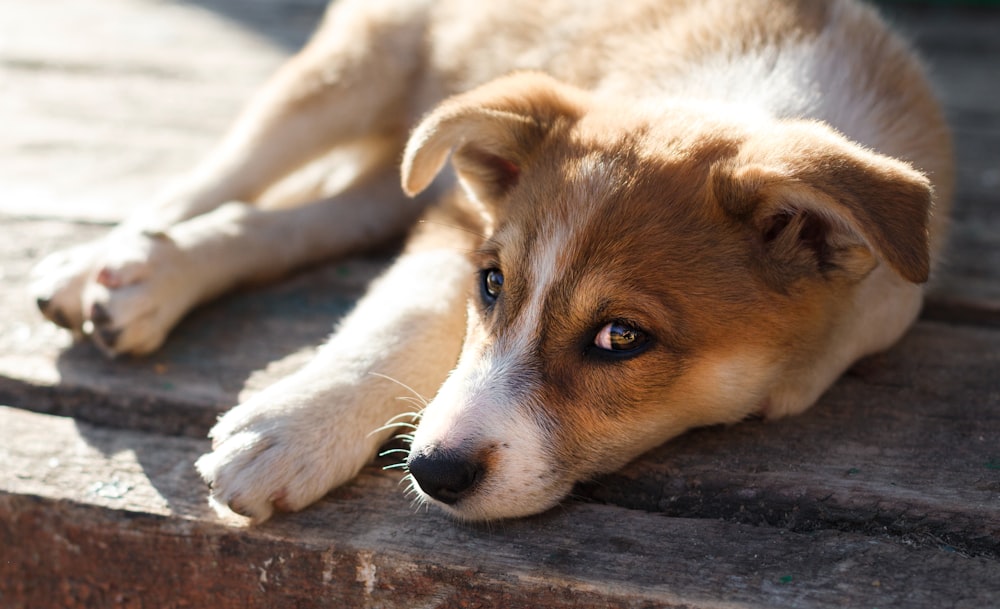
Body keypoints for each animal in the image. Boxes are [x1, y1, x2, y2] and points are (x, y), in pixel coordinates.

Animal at [31, 0, 952, 524]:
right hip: (363, 66)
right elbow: (397, 323)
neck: (749, 95)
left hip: (401, 167)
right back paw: (111, 270)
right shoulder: (457, 227)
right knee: (214, 178)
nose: (431, 472)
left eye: (622, 337)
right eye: (493, 284)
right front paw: (292, 427)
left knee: (307, 217)